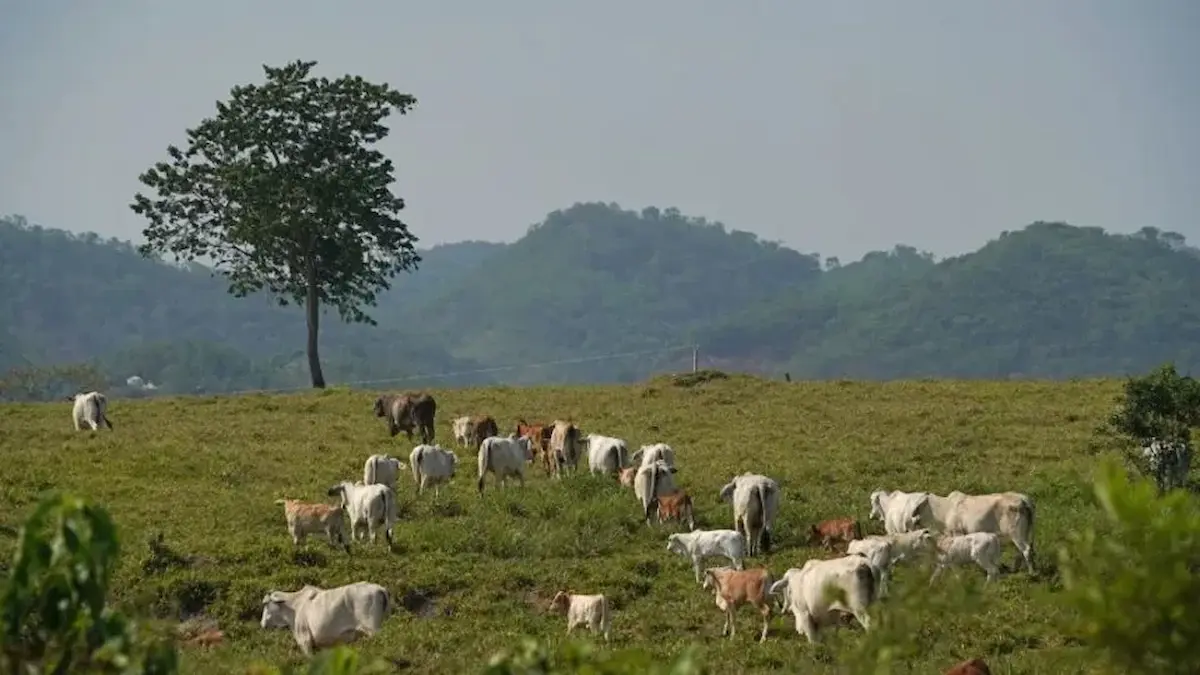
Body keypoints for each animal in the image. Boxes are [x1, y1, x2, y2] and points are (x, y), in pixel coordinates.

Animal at [260, 582, 390, 655]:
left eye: (266, 604)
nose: (262, 624)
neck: (295, 606)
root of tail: (379, 588)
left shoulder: (305, 640)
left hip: (373, 629)